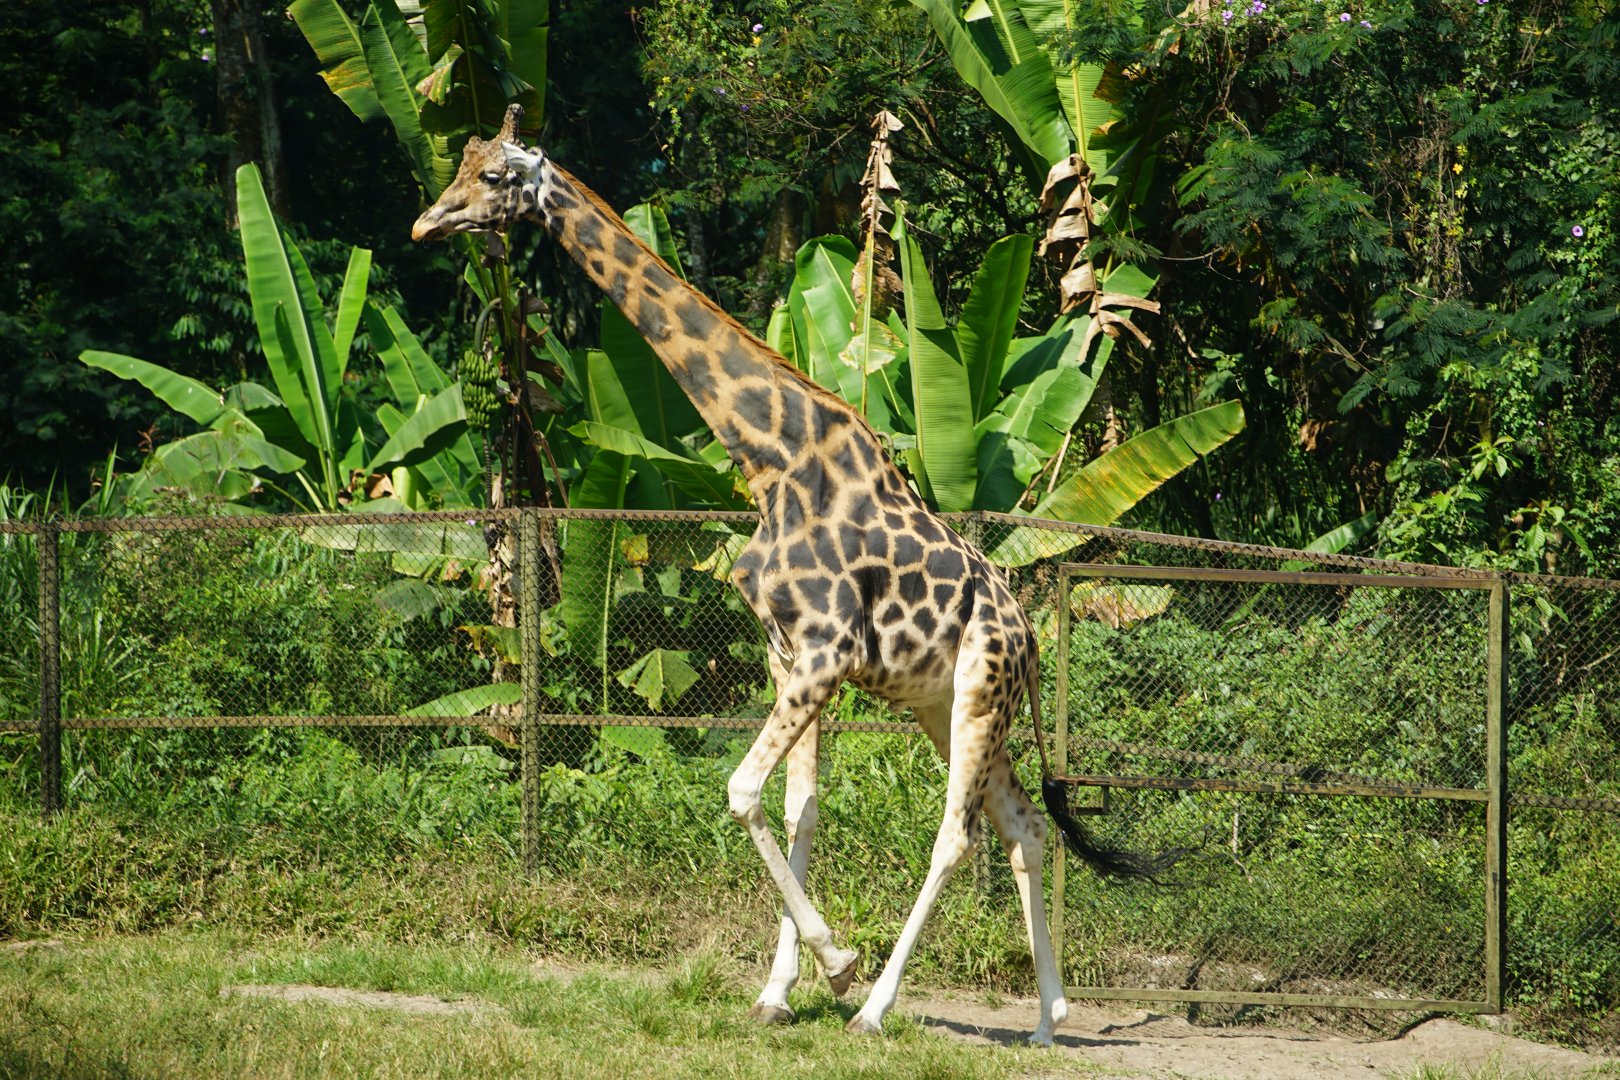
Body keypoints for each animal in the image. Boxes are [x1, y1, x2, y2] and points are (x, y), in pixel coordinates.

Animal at [413, 104, 1165, 1045]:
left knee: (956, 836)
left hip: (977, 691)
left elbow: (740, 791)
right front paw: (777, 991)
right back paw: (1046, 1020)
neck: (770, 456)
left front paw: (839, 966)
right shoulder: (788, 654)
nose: (425, 223)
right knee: (1025, 828)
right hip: (943, 704)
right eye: (462, 164)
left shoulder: (825, 651)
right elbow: (800, 807)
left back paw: (879, 1009)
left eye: (493, 177)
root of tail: (1029, 637)